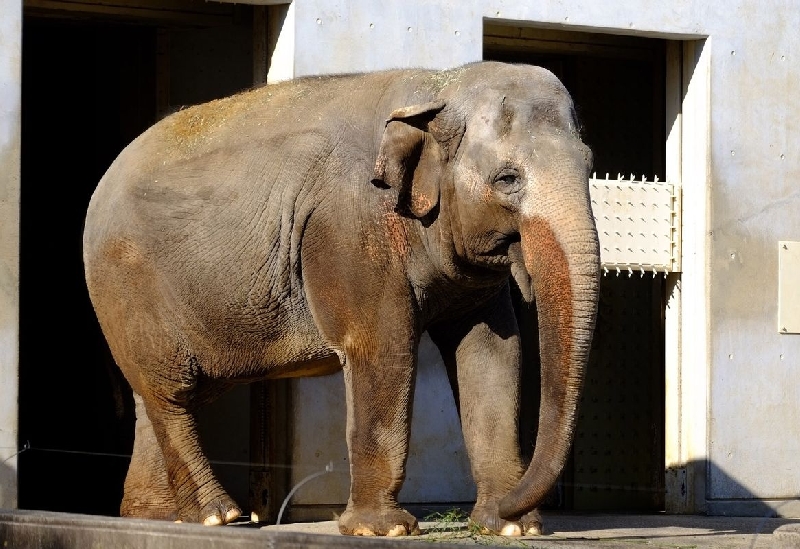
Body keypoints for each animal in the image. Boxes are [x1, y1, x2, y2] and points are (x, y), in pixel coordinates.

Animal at [84, 60, 600, 536]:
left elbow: (493, 352)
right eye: (507, 178)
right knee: (171, 394)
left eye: (591, 166)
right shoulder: (350, 228)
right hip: (127, 284)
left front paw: (511, 528)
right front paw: (385, 529)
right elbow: (382, 347)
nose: (516, 507)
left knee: (162, 395)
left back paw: (155, 516)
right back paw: (219, 518)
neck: (435, 85)